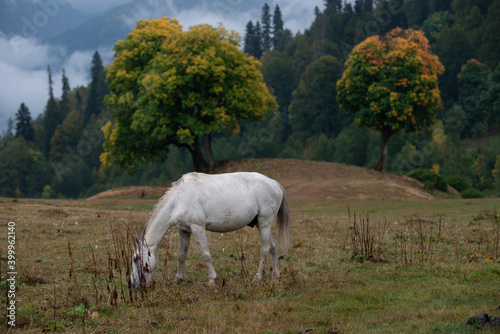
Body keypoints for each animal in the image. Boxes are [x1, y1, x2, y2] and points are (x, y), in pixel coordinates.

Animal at [131, 172, 292, 288]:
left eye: (135, 258)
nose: (133, 284)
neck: (179, 199)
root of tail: (275, 184)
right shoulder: (184, 230)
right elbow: (181, 255)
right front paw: (178, 280)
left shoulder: (197, 228)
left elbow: (205, 254)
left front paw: (212, 280)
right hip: (261, 224)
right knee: (273, 246)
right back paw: (276, 276)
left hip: (264, 223)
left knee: (264, 249)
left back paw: (257, 278)